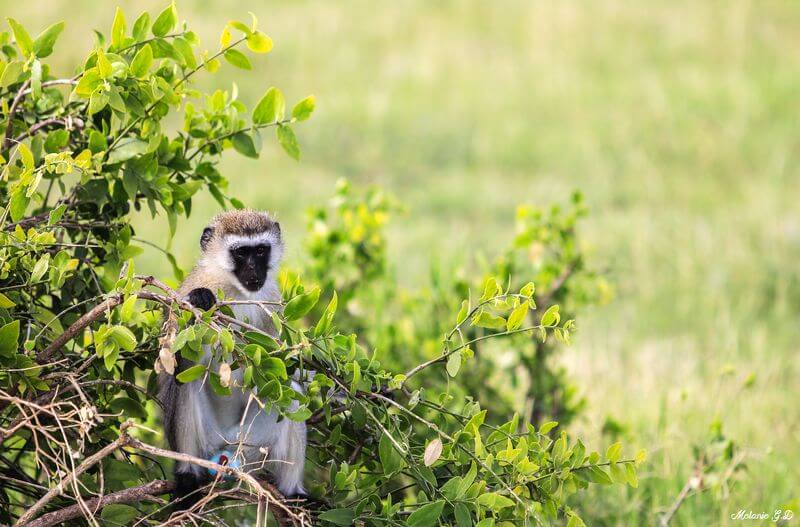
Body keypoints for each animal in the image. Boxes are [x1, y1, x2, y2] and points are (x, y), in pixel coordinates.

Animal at [158, 210, 306, 511]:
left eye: (260, 251)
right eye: (240, 253)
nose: (254, 272)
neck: (236, 291)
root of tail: (227, 450)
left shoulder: (272, 304)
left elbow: (280, 373)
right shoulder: (187, 295)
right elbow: (176, 366)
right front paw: (201, 301)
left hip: (252, 444)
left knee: (290, 392)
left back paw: (293, 495)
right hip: (210, 440)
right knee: (184, 383)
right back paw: (188, 478)